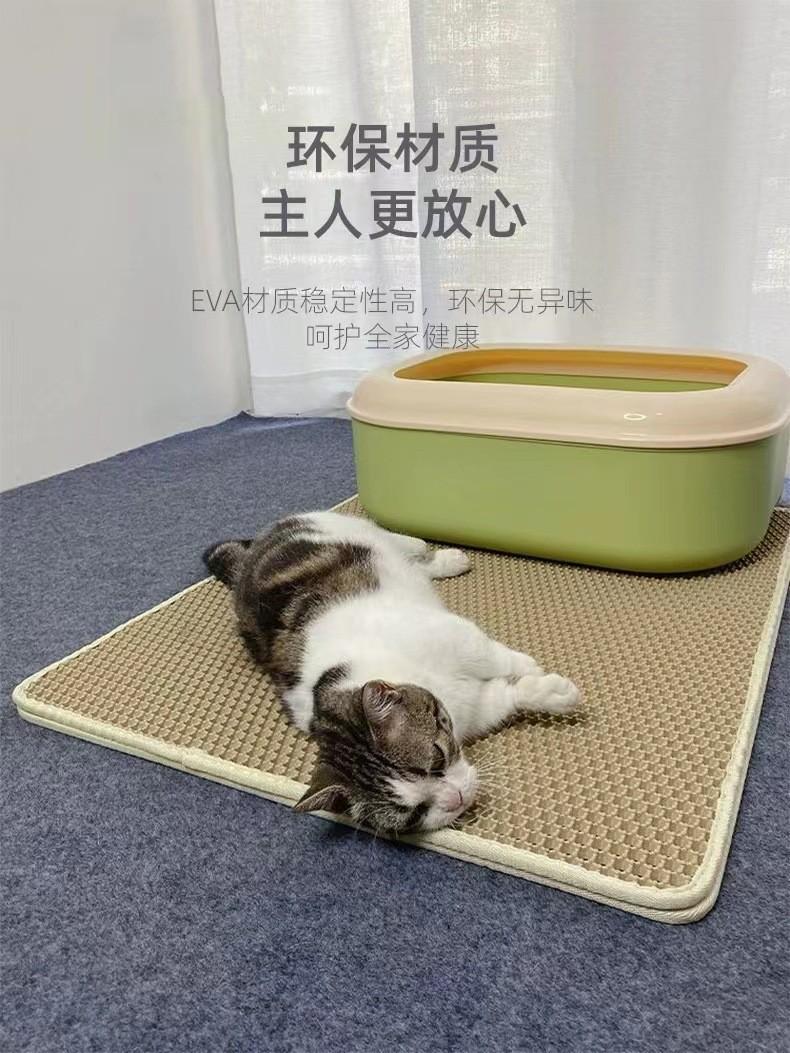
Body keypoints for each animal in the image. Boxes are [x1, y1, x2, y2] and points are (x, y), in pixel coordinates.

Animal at [203, 511, 579, 835]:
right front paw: (549, 691)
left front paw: (530, 667)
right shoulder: (477, 708)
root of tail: (257, 547)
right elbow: (510, 695)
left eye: (437, 759)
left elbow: (496, 657)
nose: (456, 799)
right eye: (416, 813)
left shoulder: (457, 637)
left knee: (402, 541)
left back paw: (439, 553)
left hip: (346, 528)